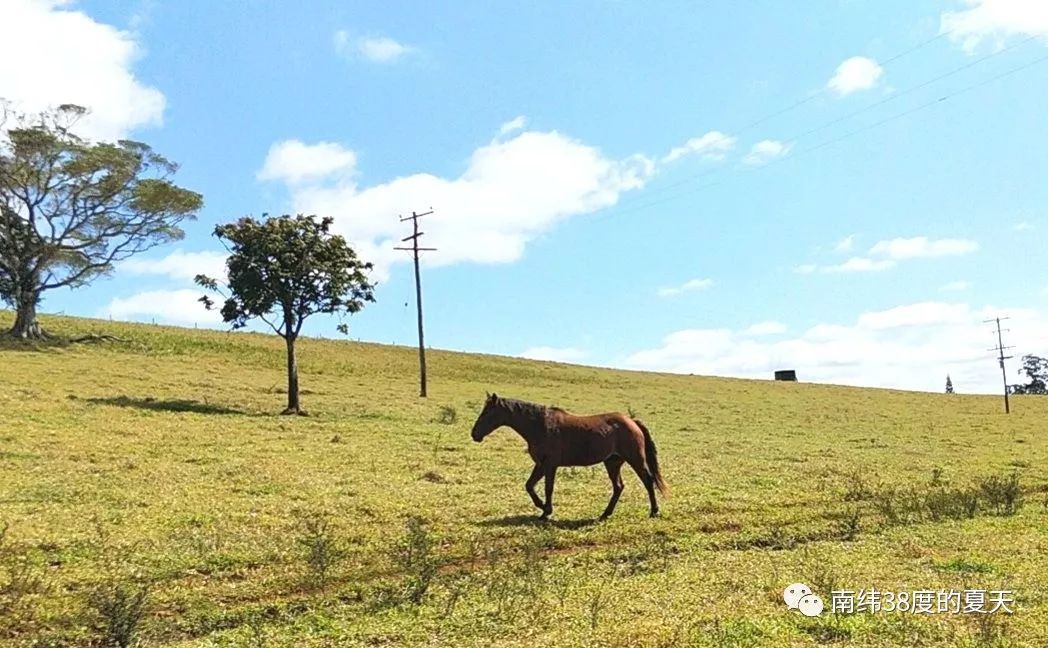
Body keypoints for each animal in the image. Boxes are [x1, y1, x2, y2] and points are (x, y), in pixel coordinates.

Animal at [471, 390, 666, 517]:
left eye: (487, 413)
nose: (474, 434)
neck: (541, 426)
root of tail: (632, 421)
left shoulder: (550, 465)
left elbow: (548, 488)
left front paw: (546, 511)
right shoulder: (541, 465)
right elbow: (529, 485)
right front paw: (542, 507)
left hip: (635, 460)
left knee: (648, 481)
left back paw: (654, 511)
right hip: (612, 462)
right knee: (618, 487)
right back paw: (605, 514)